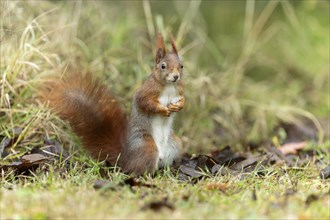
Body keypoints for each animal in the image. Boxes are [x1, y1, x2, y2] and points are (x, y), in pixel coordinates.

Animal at [42, 34, 184, 175]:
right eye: (163, 66)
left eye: (181, 66)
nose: (176, 76)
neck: (169, 86)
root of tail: (127, 159)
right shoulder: (146, 92)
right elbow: (146, 103)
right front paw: (163, 110)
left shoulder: (178, 91)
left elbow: (182, 99)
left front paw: (178, 106)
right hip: (147, 147)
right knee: (140, 170)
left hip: (175, 144)